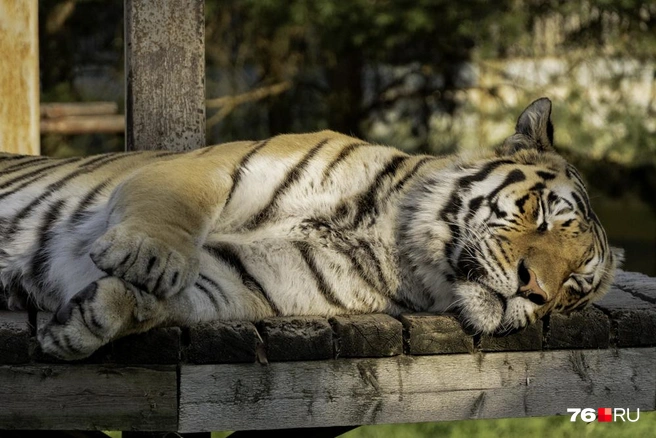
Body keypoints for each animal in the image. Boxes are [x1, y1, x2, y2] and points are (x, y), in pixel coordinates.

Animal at [0, 97, 619, 360]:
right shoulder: (209, 166)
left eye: (573, 287)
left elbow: (178, 300)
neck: (390, 243)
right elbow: (172, 213)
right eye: (541, 212)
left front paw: (90, 319)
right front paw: (148, 257)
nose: (533, 291)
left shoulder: (248, 278)